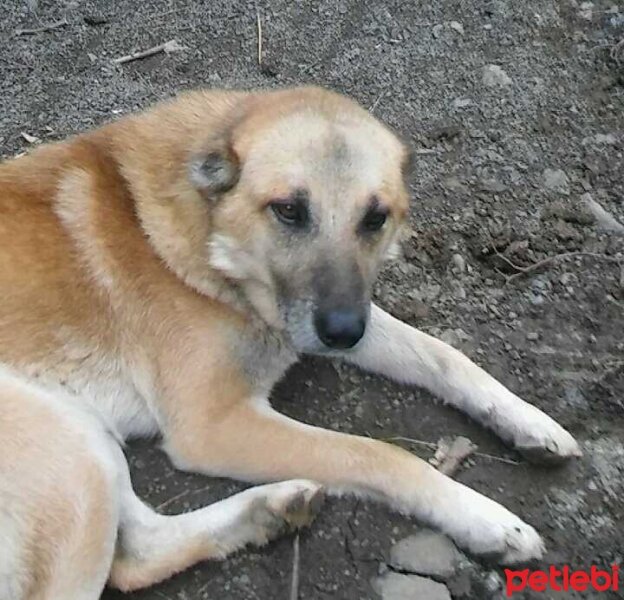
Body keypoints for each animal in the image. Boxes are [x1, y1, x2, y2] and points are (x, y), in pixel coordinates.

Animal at [0, 85, 580, 600]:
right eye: (288, 210)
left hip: (84, 440)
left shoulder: (336, 316)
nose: (344, 332)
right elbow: (377, 454)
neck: (207, 239)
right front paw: (483, 517)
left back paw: (268, 512)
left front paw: (530, 422)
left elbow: (446, 357)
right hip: (65, 441)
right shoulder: (214, 425)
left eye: (376, 217)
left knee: (137, 551)